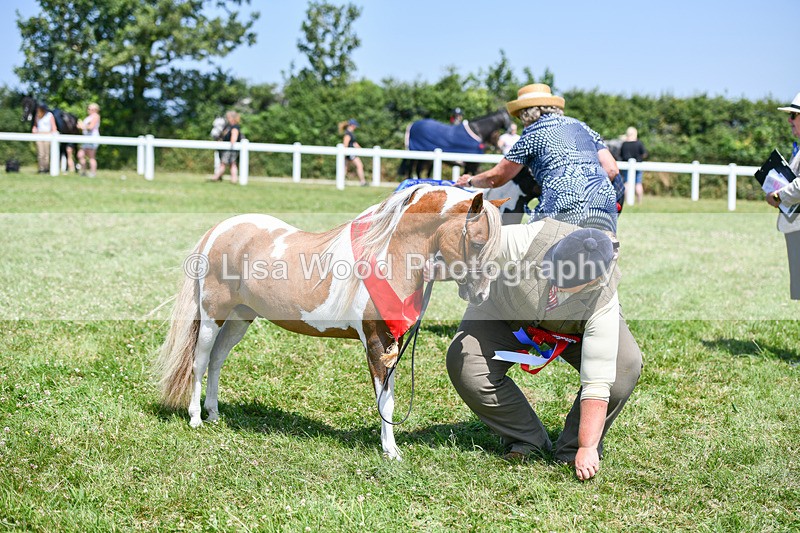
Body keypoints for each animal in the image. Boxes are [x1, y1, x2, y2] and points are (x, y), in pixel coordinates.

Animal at [155, 185, 505, 460]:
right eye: (477, 242)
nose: (482, 294)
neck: (388, 257)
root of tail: (220, 229)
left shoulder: (392, 344)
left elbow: (390, 398)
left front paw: (390, 447)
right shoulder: (375, 342)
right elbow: (385, 401)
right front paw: (390, 452)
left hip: (241, 318)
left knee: (217, 361)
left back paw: (214, 414)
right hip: (212, 316)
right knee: (200, 362)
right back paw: (196, 418)